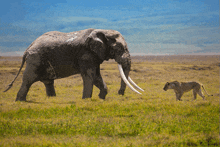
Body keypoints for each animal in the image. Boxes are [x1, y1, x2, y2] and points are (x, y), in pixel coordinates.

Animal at [4, 28, 144, 101]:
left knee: (48, 82)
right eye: (119, 48)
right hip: (35, 60)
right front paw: (87, 100)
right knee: (28, 80)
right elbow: (90, 76)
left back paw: (52, 99)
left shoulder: (94, 56)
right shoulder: (86, 55)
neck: (103, 30)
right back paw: (20, 101)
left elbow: (97, 76)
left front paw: (101, 98)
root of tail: (28, 48)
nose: (120, 93)